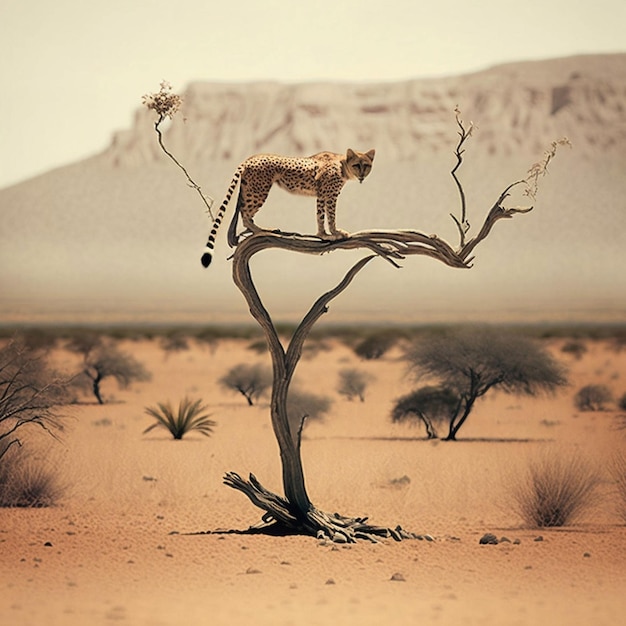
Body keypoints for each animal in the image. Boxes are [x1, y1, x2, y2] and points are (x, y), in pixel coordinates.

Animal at [201, 147, 376, 266]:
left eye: (366, 165)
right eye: (357, 165)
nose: (362, 175)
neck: (343, 165)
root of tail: (251, 157)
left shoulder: (322, 196)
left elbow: (320, 215)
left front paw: (323, 234)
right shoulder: (329, 195)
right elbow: (330, 216)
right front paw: (333, 233)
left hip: (249, 190)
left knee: (242, 213)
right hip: (258, 191)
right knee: (246, 215)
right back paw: (262, 231)